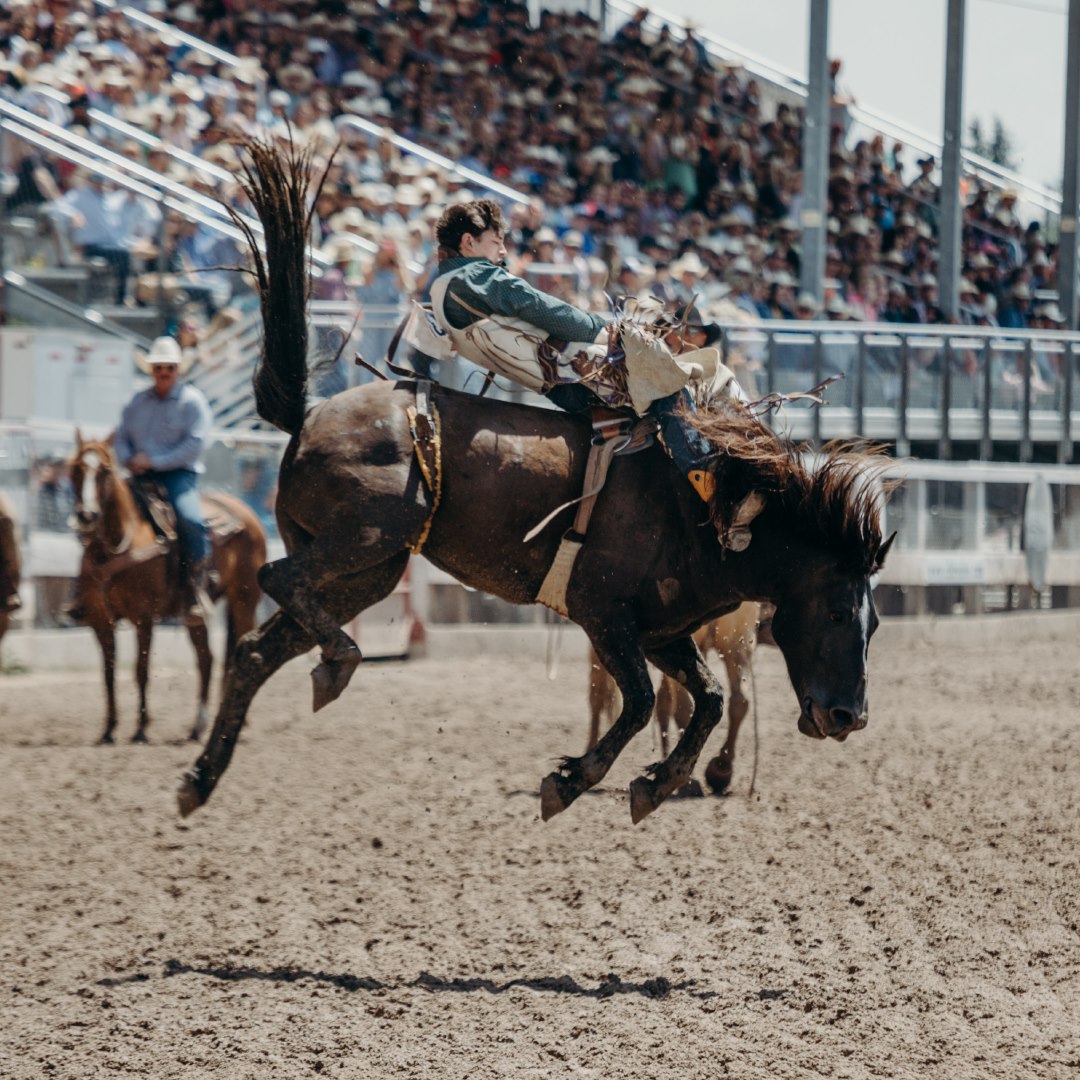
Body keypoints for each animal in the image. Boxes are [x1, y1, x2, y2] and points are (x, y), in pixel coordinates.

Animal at [69, 433, 267, 744]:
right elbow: (108, 672)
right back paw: (198, 726)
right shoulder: (100, 621)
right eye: (75, 469)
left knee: (237, 652)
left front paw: (140, 729)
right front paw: (109, 729)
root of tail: (247, 513)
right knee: (206, 659)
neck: (115, 545)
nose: (87, 515)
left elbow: (141, 670)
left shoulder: (143, 616)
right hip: (194, 614)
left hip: (244, 601)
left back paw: (239, 723)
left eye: (104, 472)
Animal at [587, 602, 764, 795]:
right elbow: (684, 707)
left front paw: (721, 769)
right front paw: (689, 780)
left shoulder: (737, 638)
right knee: (597, 695)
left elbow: (740, 702)